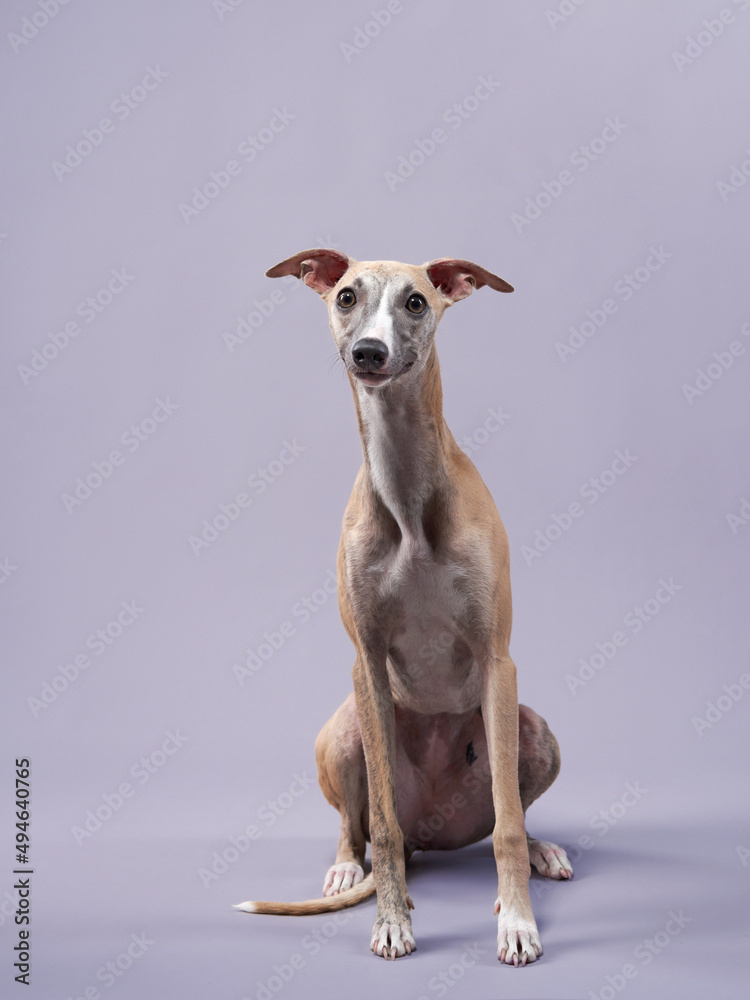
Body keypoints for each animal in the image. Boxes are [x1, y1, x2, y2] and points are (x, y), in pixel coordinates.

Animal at [236, 248, 576, 960]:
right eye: (345, 295)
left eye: (416, 301)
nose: (369, 352)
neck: (407, 497)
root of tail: (435, 832)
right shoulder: (365, 659)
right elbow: (382, 832)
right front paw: (391, 921)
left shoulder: (497, 659)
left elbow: (507, 823)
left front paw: (517, 923)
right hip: (346, 732)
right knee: (364, 827)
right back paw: (347, 868)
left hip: (533, 730)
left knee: (508, 814)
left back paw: (539, 851)